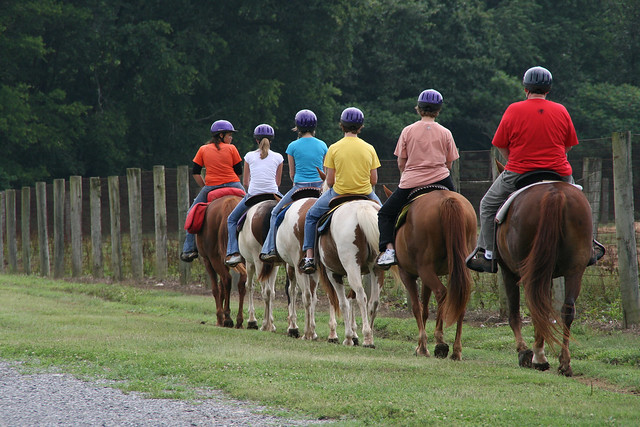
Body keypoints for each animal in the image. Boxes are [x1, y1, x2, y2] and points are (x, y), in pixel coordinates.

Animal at [384, 186, 480, 360]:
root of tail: (447, 199)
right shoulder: (426, 277)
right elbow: (425, 309)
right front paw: (420, 345)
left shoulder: (408, 275)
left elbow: (417, 307)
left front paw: (422, 347)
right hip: (456, 268)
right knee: (460, 299)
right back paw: (456, 350)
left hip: (425, 268)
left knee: (441, 292)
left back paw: (440, 341)